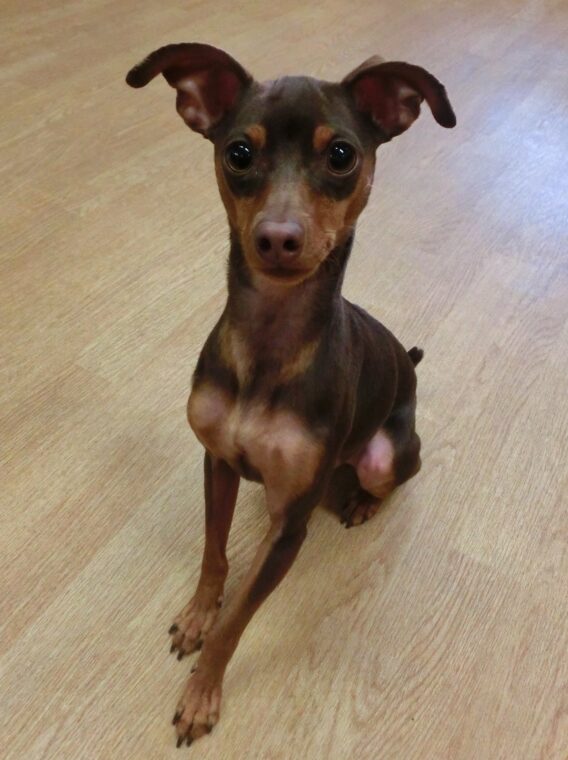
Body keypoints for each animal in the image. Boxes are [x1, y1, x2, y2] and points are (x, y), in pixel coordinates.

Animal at [126, 43, 455, 747]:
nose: (277, 238)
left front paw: (202, 696)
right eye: (238, 153)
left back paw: (361, 501)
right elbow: (214, 554)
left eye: (343, 155)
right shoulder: (217, 461)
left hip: (385, 456)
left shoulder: (290, 531)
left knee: (391, 477)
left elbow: (238, 625)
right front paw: (197, 616)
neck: (270, 342)